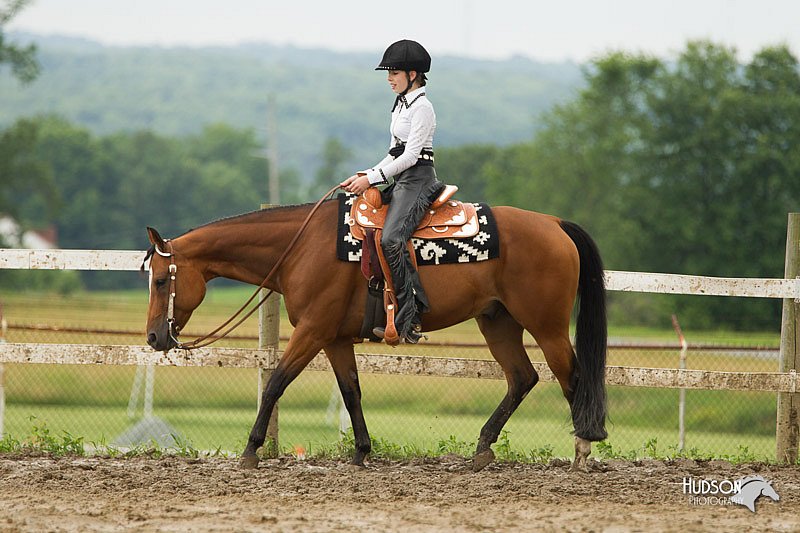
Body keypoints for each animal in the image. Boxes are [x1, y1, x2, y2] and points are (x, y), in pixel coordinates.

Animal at [144, 196, 608, 470]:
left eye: (161, 281)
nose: (153, 338)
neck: (300, 248)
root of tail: (554, 223)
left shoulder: (312, 331)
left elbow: (276, 382)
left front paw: (251, 450)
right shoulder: (333, 338)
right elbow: (351, 391)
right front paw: (362, 452)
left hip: (546, 326)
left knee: (572, 378)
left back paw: (582, 453)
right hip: (497, 320)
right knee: (521, 378)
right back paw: (481, 449)